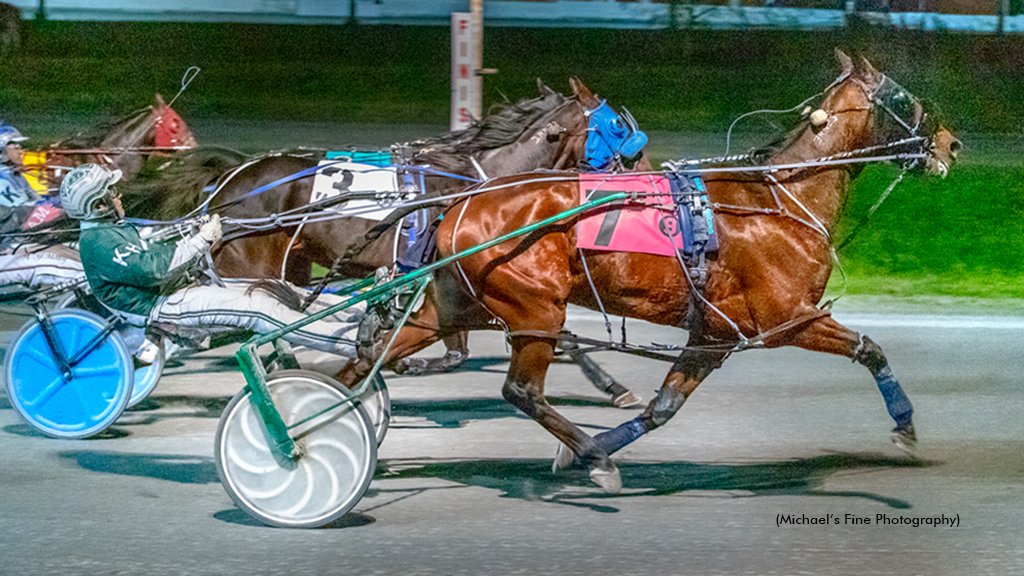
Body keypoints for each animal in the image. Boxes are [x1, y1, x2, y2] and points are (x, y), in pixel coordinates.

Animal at [348, 51, 962, 487]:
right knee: (521, 391)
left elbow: (663, 408)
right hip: (535, 308)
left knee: (365, 364)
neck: (780, 199)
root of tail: (459, 204)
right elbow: (870, 348)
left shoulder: (714, 335)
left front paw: (578, 455)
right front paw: (905, 427)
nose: (951, 143)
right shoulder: (788, 319)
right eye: (903, 97)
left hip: (457, 305)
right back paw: (593, 458)